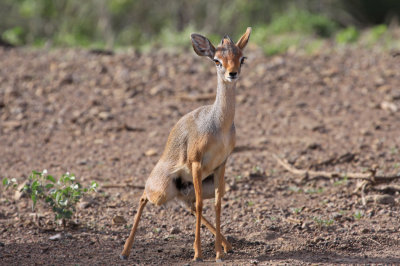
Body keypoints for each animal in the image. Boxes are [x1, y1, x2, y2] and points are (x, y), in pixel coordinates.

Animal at [119, 27, 252, 262]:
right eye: (217, 60)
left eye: (241, 58)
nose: (232, 73)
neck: (218, 126)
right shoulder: (196, 162)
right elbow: (201, 205)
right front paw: (198, 254)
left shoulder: (221, 165)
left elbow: (216, 204)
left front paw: (218, 253)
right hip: (161, 190)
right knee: (145, 196)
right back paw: (125, 252)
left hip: (187, 190)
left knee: (188, 206)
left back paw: (227, 245)